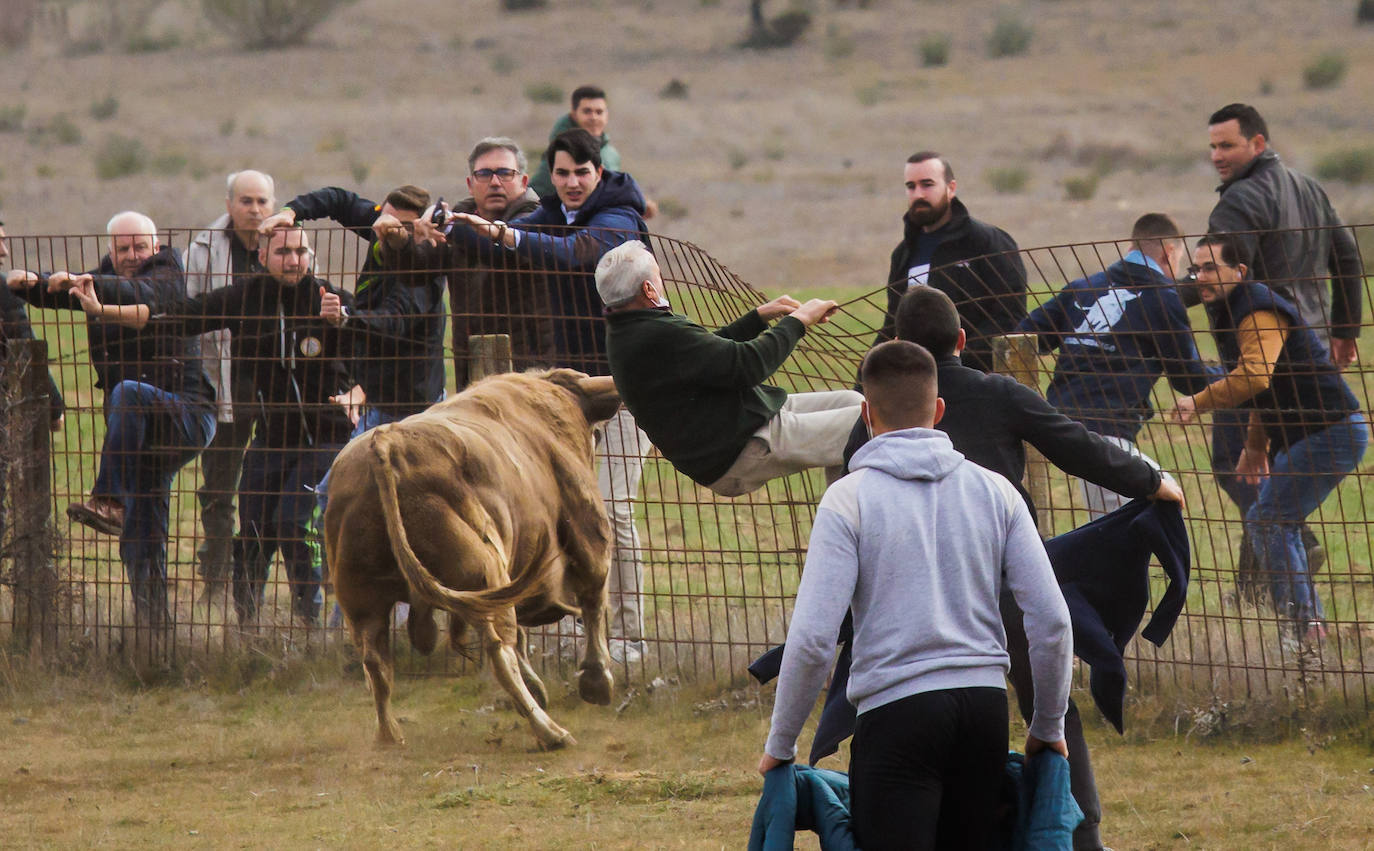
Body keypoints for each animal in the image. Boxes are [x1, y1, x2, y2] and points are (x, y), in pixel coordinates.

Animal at [321, 368, 623, 747]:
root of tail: (386, 445)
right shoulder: (589, 535)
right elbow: (594, 602)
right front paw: (597, 681)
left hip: (361, 598)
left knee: (375, 662)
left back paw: (390, 735)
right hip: (485, 569)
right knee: (499, 649)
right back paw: (550, 731)